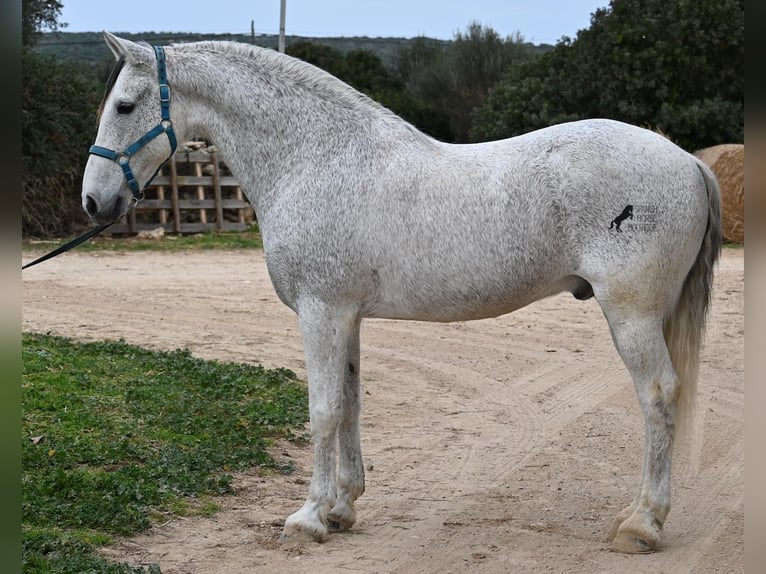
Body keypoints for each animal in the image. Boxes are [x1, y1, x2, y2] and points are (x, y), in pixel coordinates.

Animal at [81, 33, 724, 556]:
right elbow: (350, 403)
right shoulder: (346, 317)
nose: (94, 202)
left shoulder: (320, 312)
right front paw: (341, 509)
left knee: (658, 397)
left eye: (125, 106)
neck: (318, 159)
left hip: (632, 314)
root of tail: (686, 160)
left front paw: (307, 518)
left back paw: (642, 525)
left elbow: (322, 410)